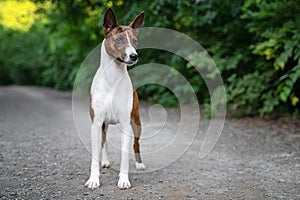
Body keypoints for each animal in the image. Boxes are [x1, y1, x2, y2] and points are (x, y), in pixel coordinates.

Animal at [84, 8, 145, 190]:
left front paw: (123, 180)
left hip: (136, 122)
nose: (134, 56)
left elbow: (125, 154)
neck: (112, 78)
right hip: (103, 125)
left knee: (136, 143)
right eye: (118, 40)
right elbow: (95, 154)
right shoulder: (96, 123)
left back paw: (139, 163)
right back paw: (105, 161)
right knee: (103, 142)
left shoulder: (126, 124)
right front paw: (94, 179)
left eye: (135, 41)